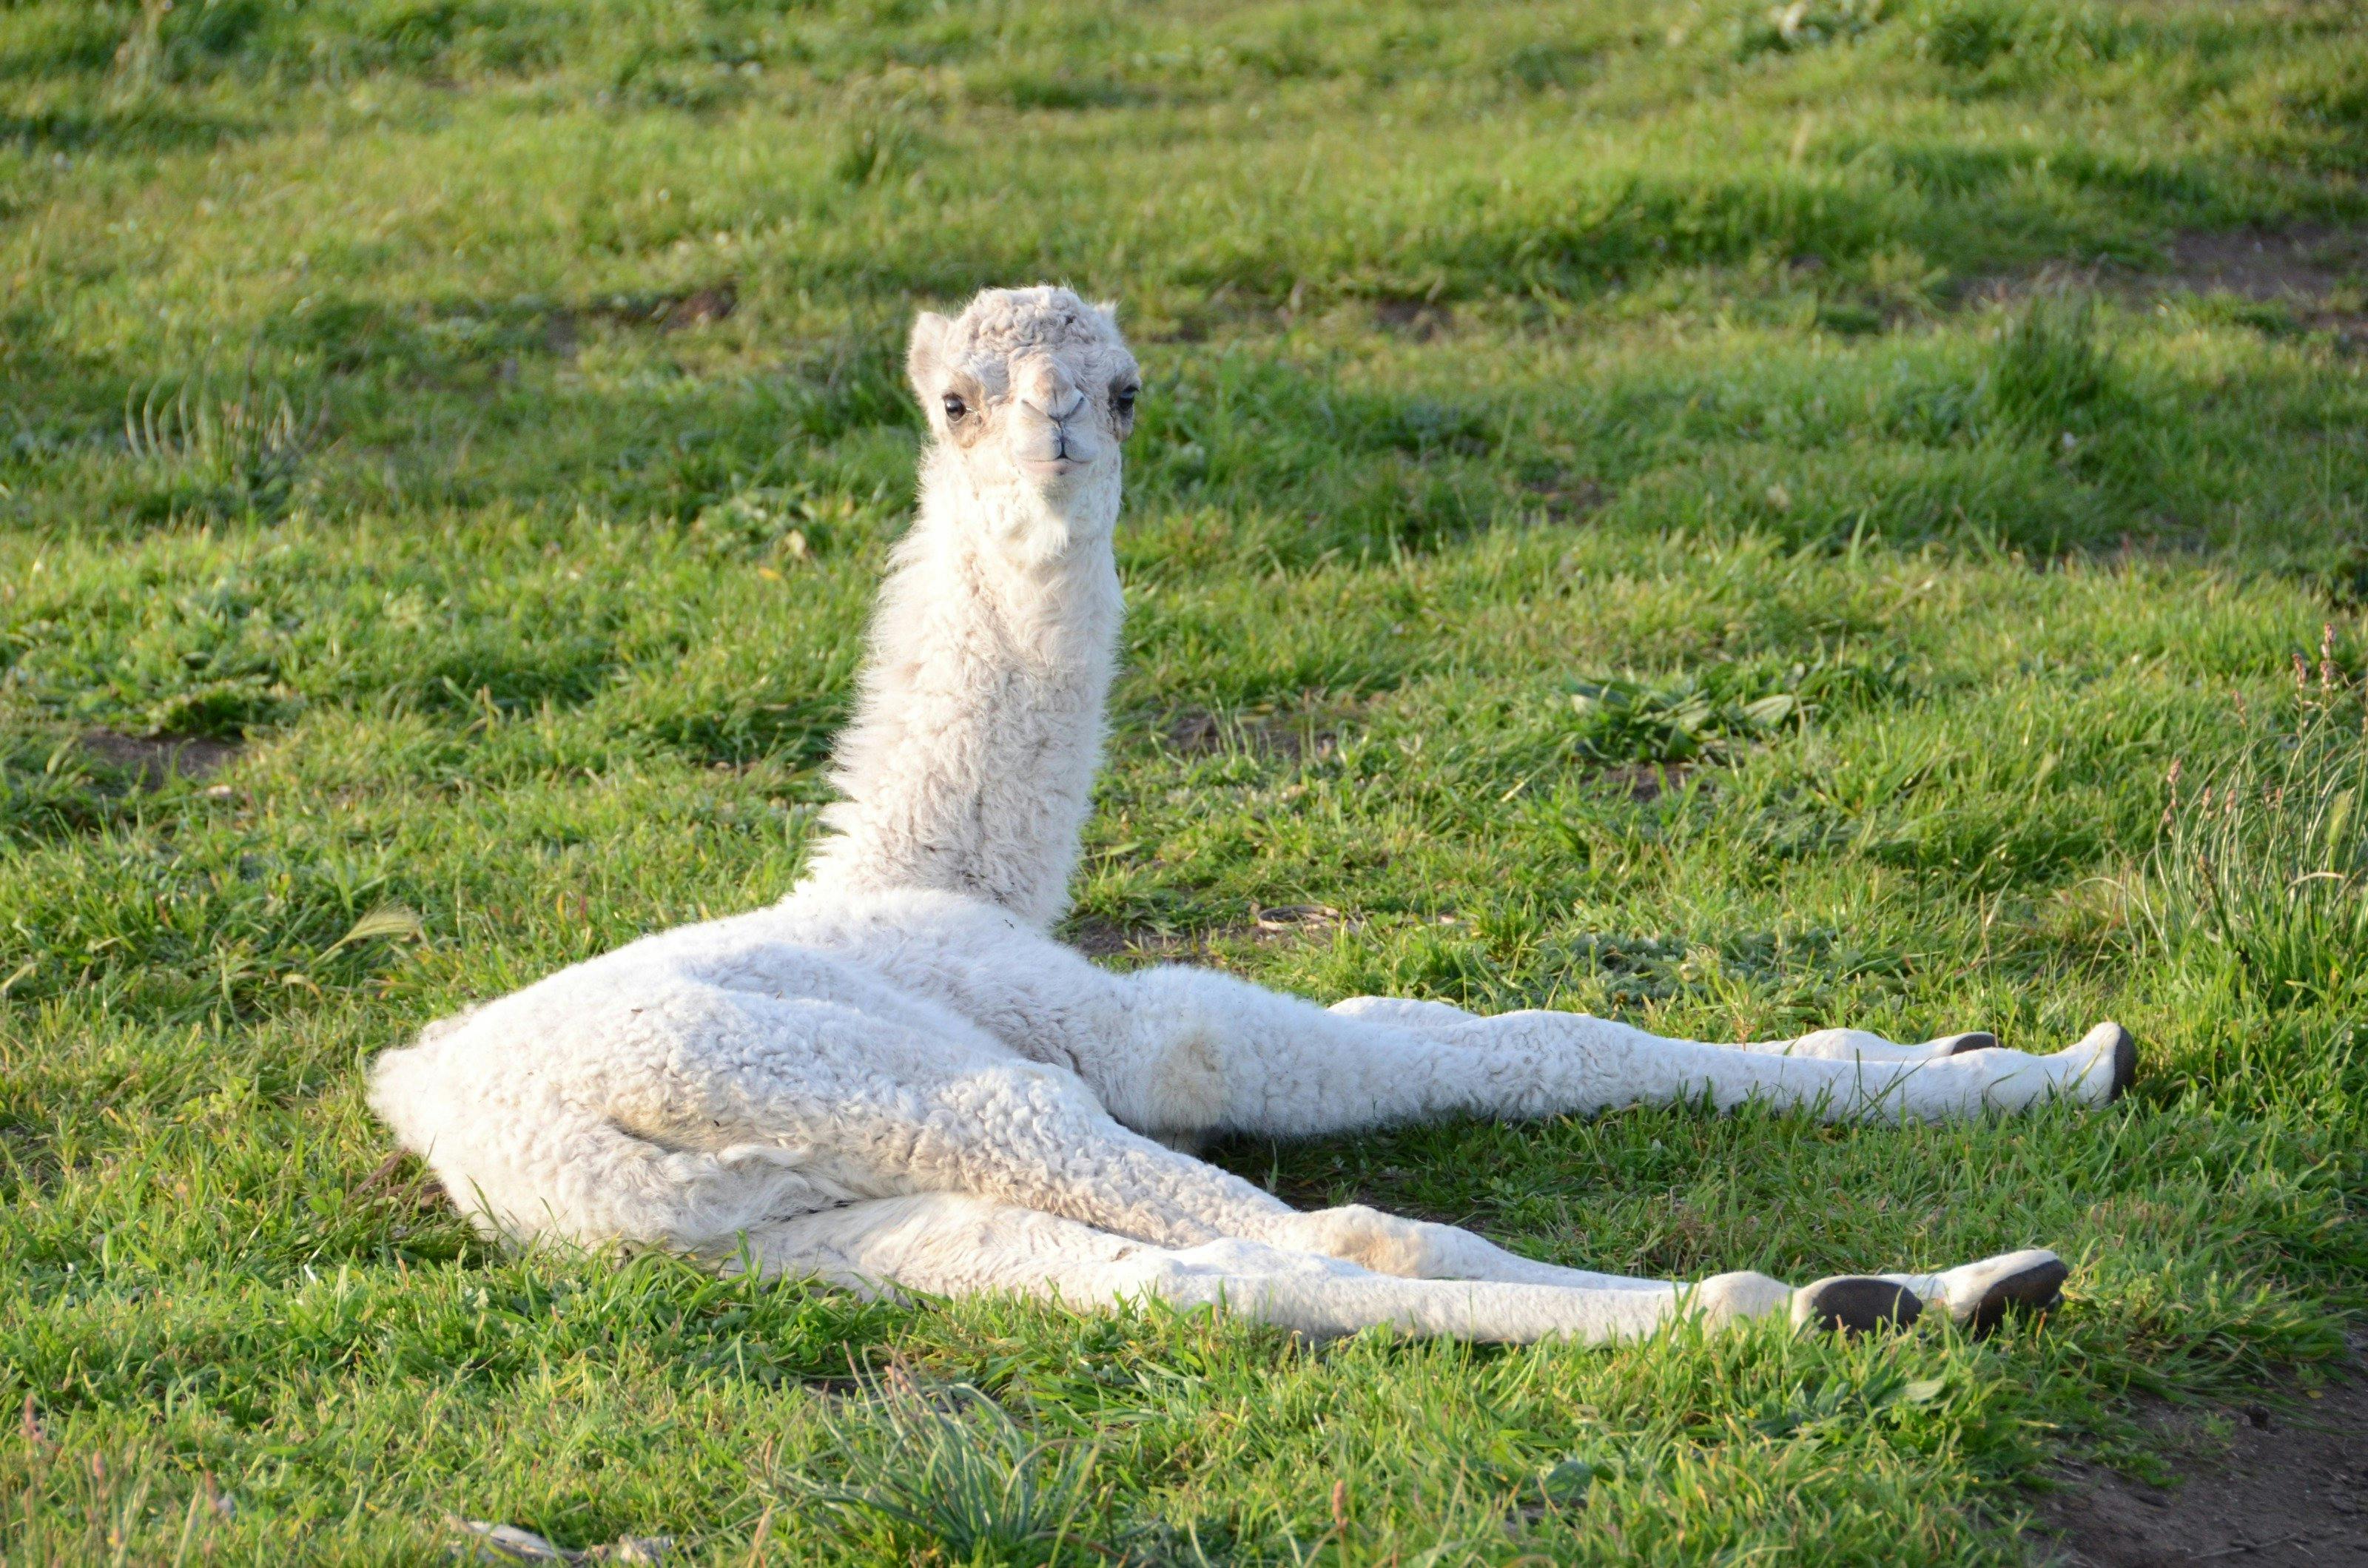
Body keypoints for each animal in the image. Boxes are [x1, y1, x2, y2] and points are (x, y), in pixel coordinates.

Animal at [370, 286, 2135, 1343]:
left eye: (1123, 390)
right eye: (957, 401)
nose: (1050, 450)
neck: (941, 867)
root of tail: (511, 1136)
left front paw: (1979, 1050)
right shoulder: (1093, 1013)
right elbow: (1501, 1038)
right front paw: (2053, 1064)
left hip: (797, 1228)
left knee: (1204, 1281)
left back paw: (1882, 1296)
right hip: (912, 1089)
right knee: (1346, 1228)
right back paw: (1895, 1292)